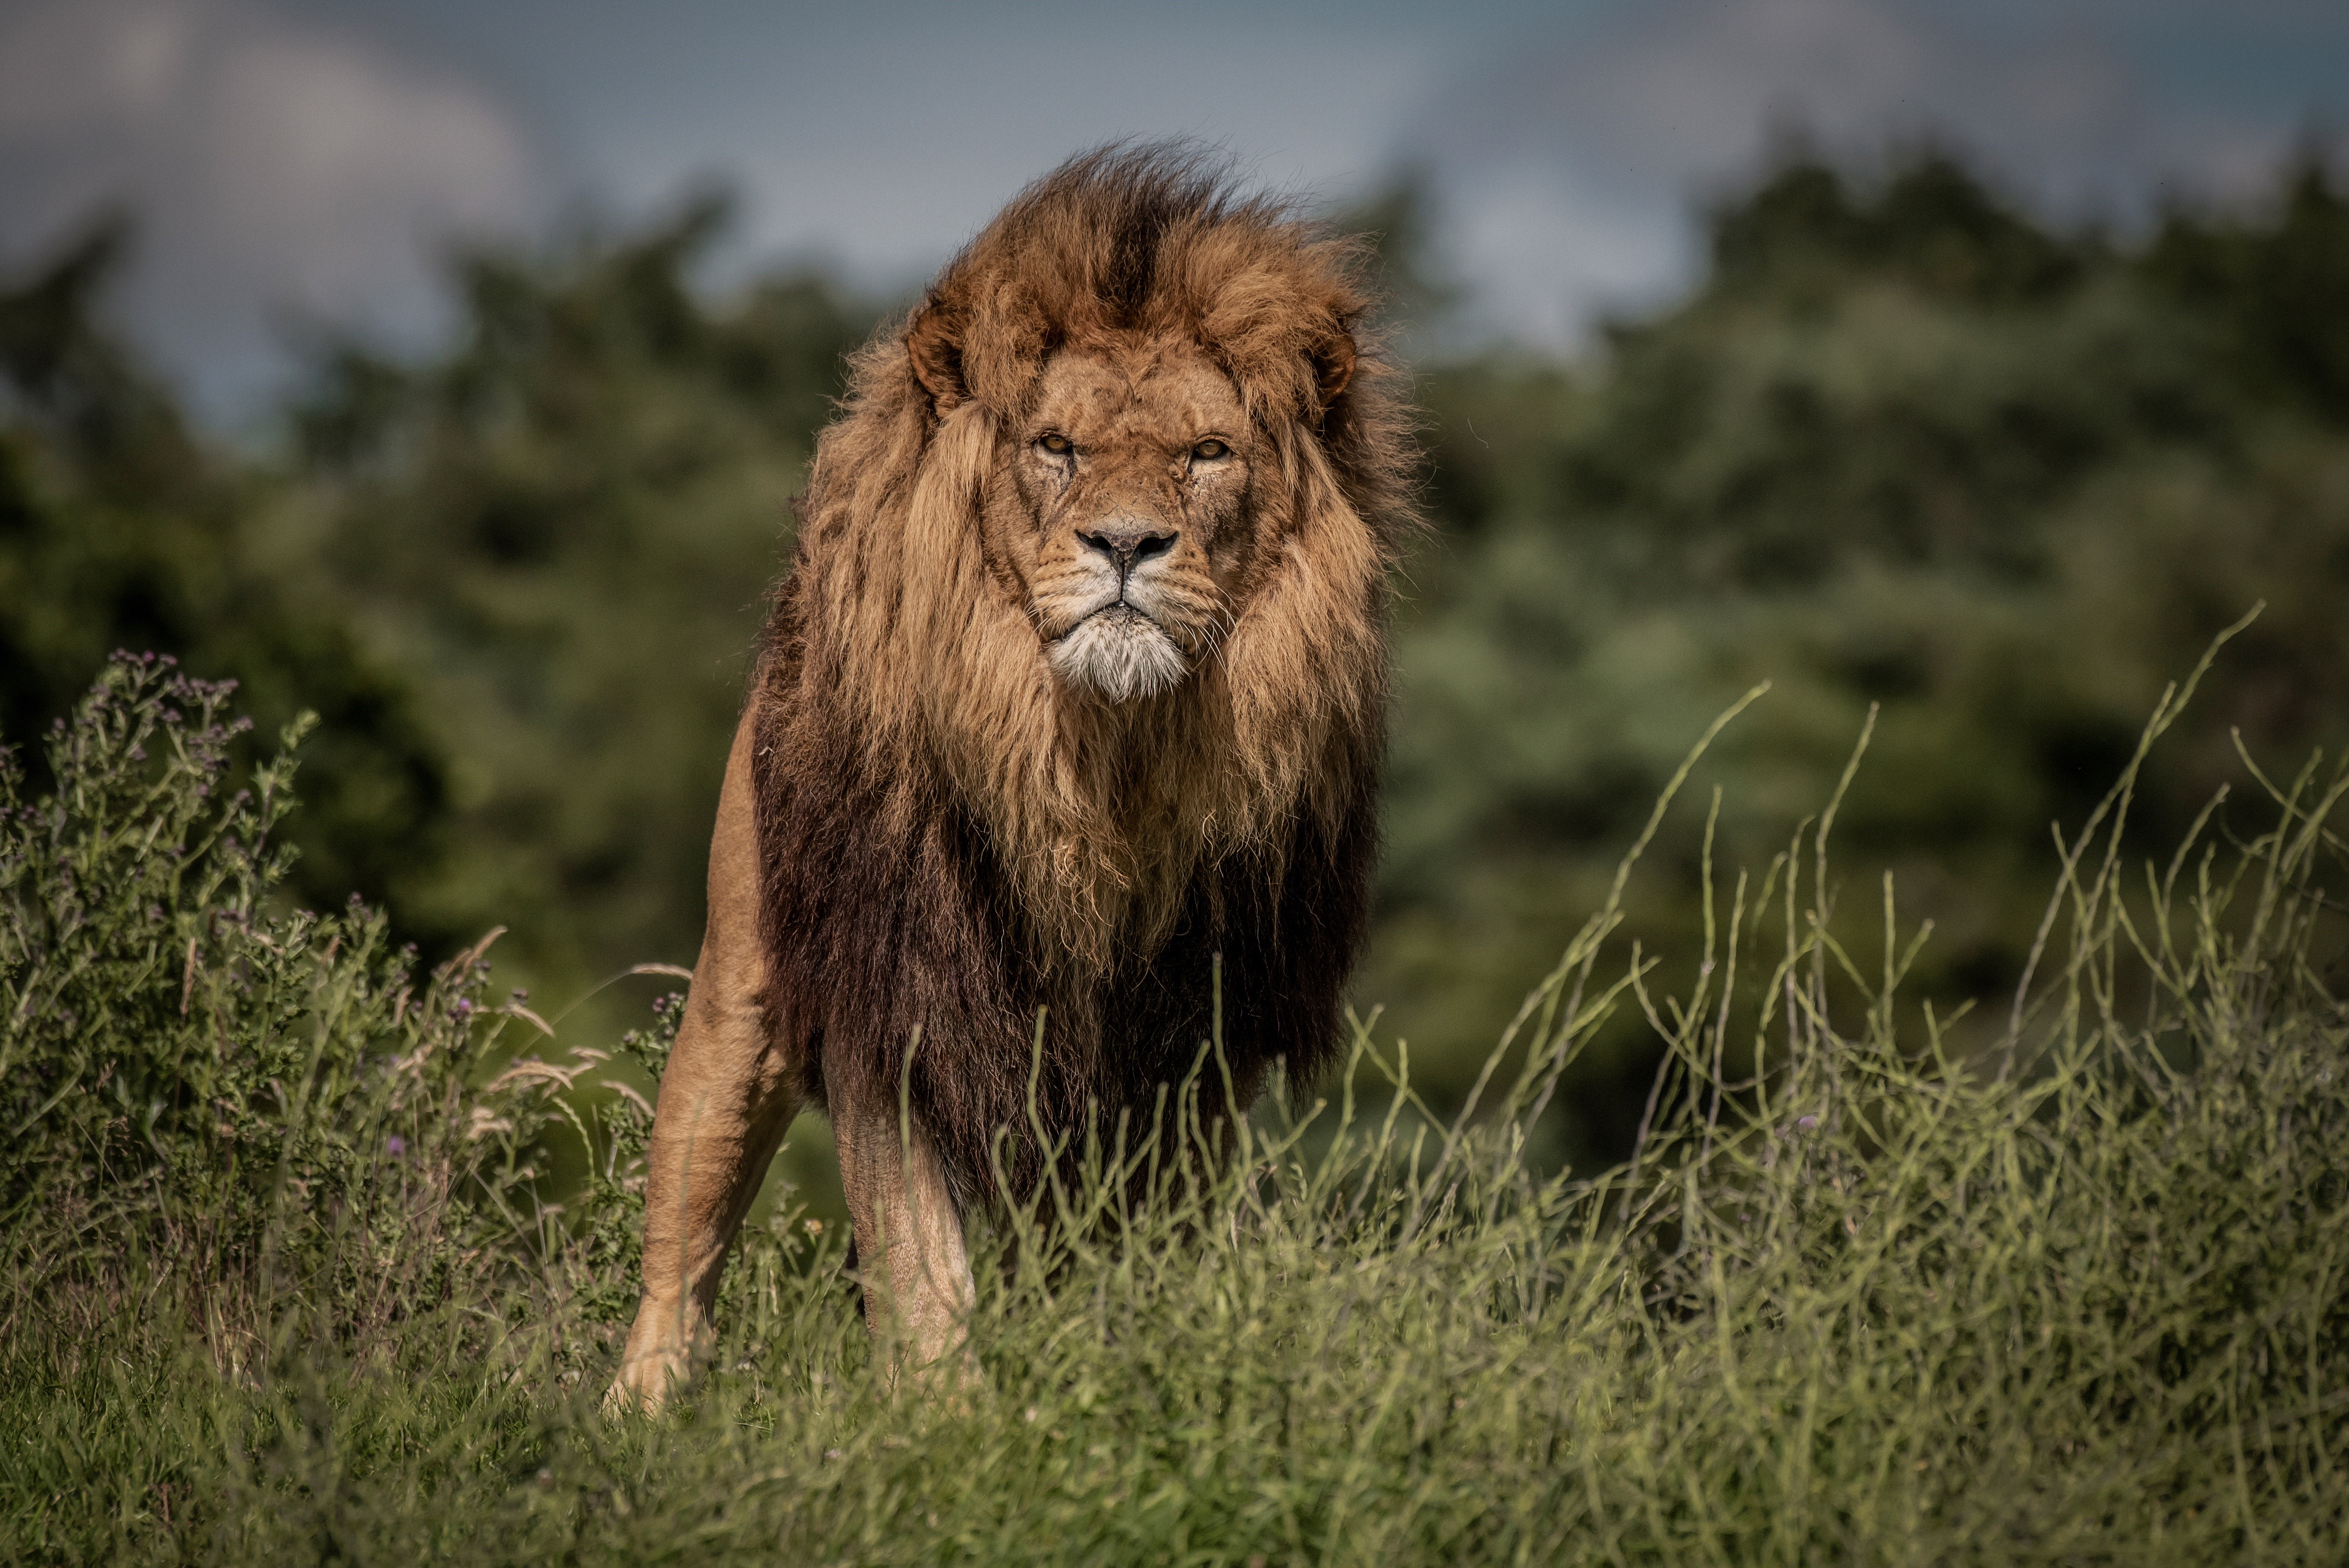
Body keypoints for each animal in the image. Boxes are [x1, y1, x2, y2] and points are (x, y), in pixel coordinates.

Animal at [609, 144, 1414, 1408]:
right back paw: (635, 1412)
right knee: (680, 1237)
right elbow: (918, 1268)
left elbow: (1142, 1259)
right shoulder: (895, 994)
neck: (1098, 761)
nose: (1127, 544)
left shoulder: (1190, 1045)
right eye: (1057, 447)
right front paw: (944, 1421)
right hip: (742, 985)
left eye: (1206, 454)